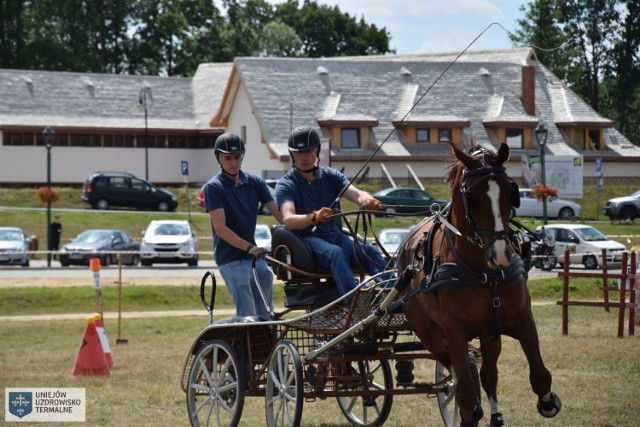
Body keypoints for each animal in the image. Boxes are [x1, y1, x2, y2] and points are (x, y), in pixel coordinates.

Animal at [396, 144, 560, 427]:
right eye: (472, 197)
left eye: (510, 192)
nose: (500, 254)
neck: (483, 273)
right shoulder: (454, 331)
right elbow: (463, 388)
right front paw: (469, 410)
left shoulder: (522, 318)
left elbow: (539, 373)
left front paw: (548, 402)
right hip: (429, 333)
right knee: (457, 369)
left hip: (488, 332)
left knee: (487, 374)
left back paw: (494, 414)